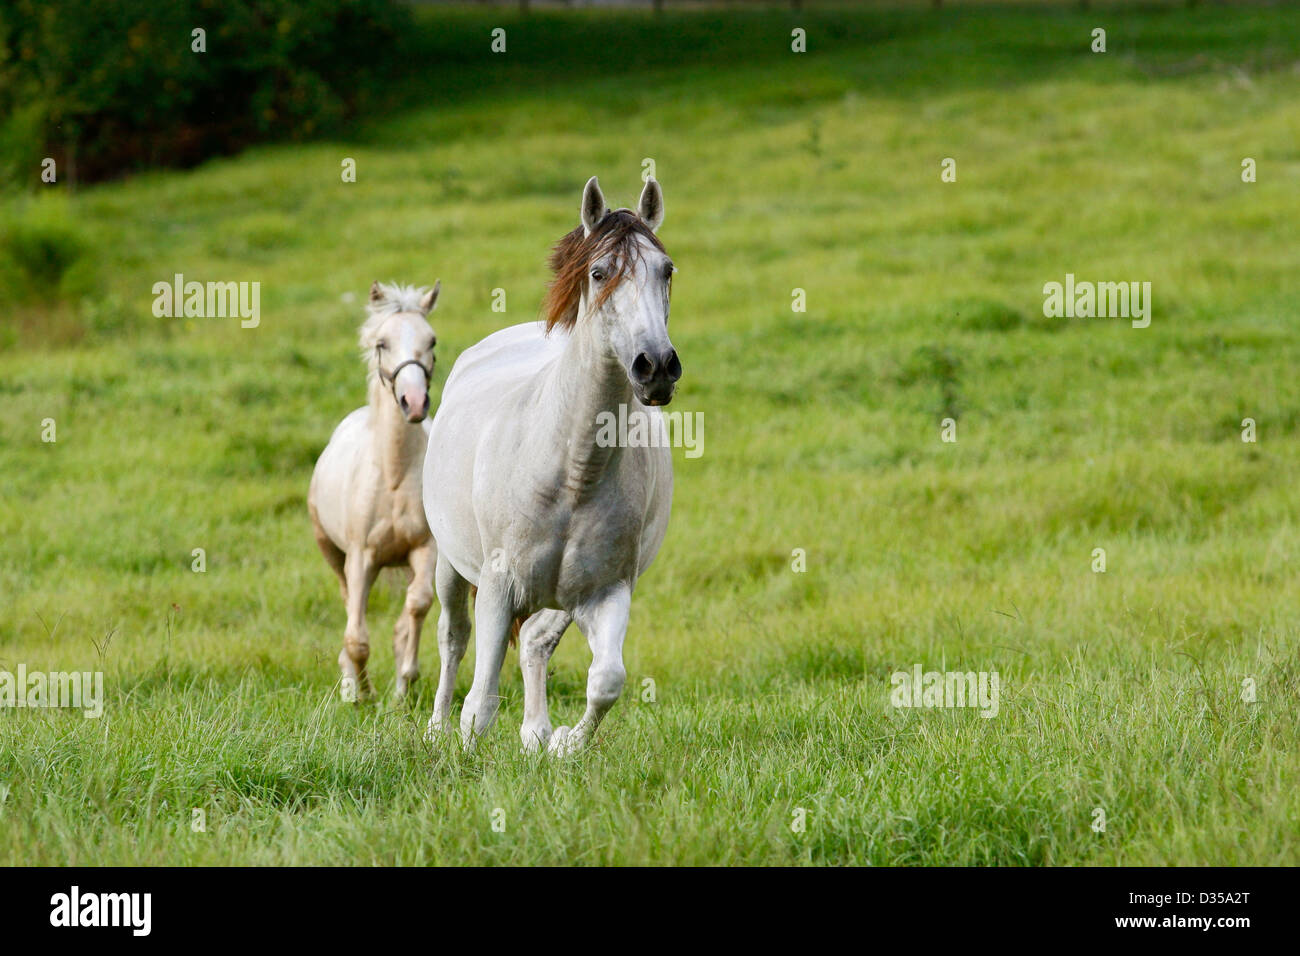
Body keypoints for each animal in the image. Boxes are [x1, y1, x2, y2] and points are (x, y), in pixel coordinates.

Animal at [309, 280, 441, 697]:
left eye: (431, 341)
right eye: (383, 343)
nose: (414, 402)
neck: (394, 475)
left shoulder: (424, 550)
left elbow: (416, 606)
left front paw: (404, 683)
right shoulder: (360, 558)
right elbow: (357, 636)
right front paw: (359, 692)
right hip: (331, 552)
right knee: (348, 602)